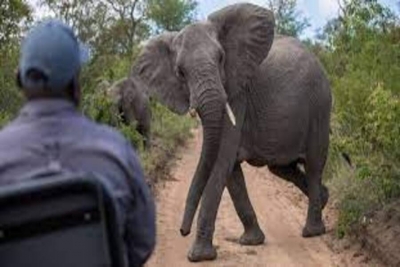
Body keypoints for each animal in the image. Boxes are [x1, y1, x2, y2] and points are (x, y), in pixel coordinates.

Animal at [128, 2, 332, 262]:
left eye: (221, 59)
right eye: (180, 72)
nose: (182, 231)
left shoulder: (238, 95)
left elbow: (221, 161)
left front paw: (198, 256)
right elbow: (231, 171)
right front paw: (250, 241)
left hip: (320, 106)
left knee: (314, 165)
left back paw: (312, 231)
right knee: (282, 168)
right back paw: (324, 200)